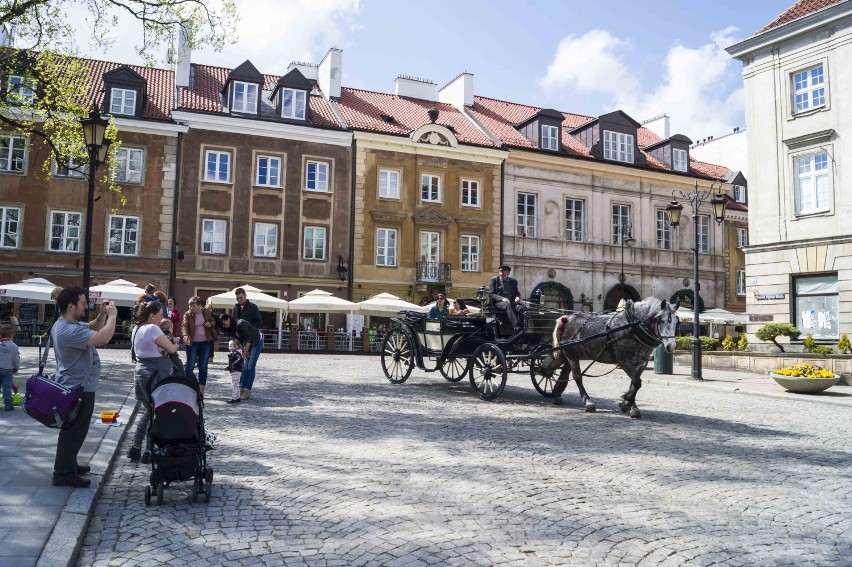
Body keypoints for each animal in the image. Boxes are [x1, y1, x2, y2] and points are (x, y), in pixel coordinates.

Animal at [540, 300, 680, 420]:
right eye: (661, 321)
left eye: (676, 322)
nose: (671, 346)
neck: (632, 326)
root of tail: (566, 318)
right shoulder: (624, 361)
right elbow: (637, 382)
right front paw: (627, 402)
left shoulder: (641, 363)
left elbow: (634, 384)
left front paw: (630, 405)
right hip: (572, 355)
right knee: (577, 377)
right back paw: (588, 402)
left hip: (570, 354)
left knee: (564, 372)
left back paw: (557, 394)